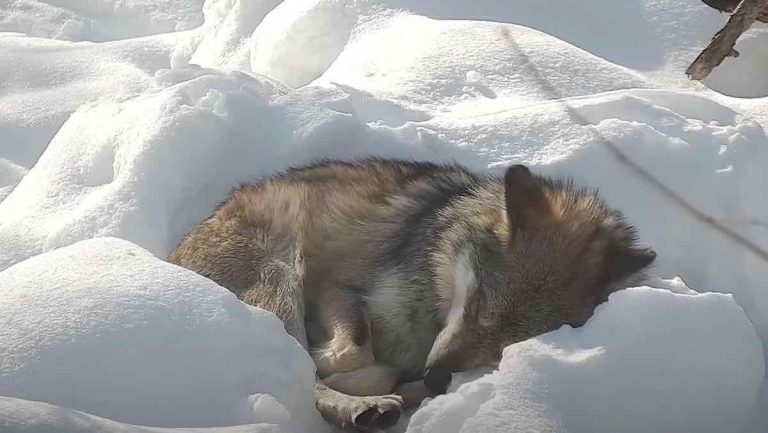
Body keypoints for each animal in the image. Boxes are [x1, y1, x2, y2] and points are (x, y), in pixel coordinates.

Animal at [169, 159, 656, 431]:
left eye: (511, 343)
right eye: (479, 303)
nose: (438, 377)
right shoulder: (336, 285)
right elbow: (352, 353)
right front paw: (344, 369)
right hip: (281, 275)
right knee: (294, 370)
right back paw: (361, 404)